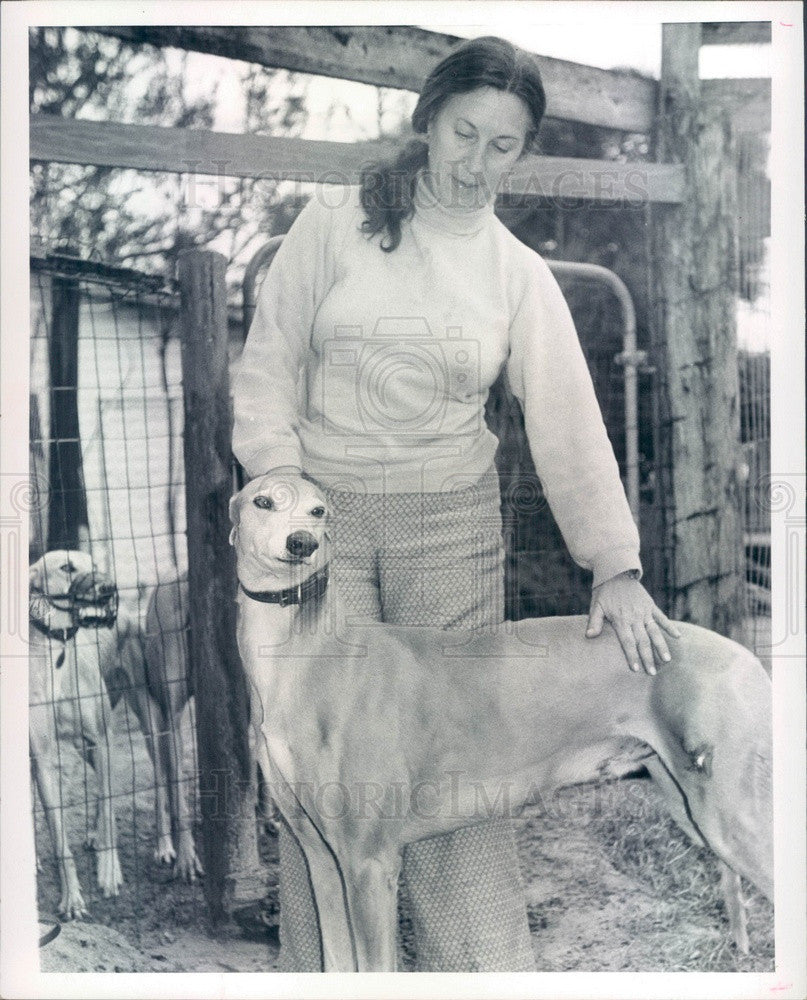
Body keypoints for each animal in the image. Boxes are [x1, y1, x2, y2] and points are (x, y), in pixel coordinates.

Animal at [29, 552, 127, 916]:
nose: (109, 586)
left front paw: (109, 872)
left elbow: (108, 804)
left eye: (93, 564)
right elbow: (59, 840)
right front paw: (70, 897)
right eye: (67, 567)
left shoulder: (101, 741)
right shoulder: (42, 760)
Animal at [230, 472, 772, 972]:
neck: (309, 658)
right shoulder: (321, 859)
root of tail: (747, 657)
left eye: (319, 511)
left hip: (730, 819)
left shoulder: (369, 864)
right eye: (263, 501)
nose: (302, 543)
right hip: (690, 809)